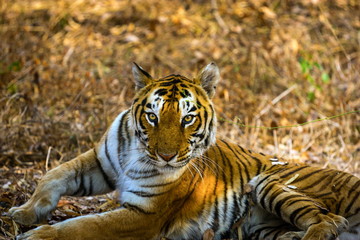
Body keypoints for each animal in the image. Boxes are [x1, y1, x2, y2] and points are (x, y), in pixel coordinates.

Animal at [9, 62, 360, 239]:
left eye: (187, 118)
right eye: (152, 116)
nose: (166, 156)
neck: (136, 151)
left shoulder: (145, 214)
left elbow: (84, 226)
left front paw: (36, 236)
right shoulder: (100, 162)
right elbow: (54, 175)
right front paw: (23, 212)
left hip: (269, 183)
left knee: (330, 222)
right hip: (264, 228)